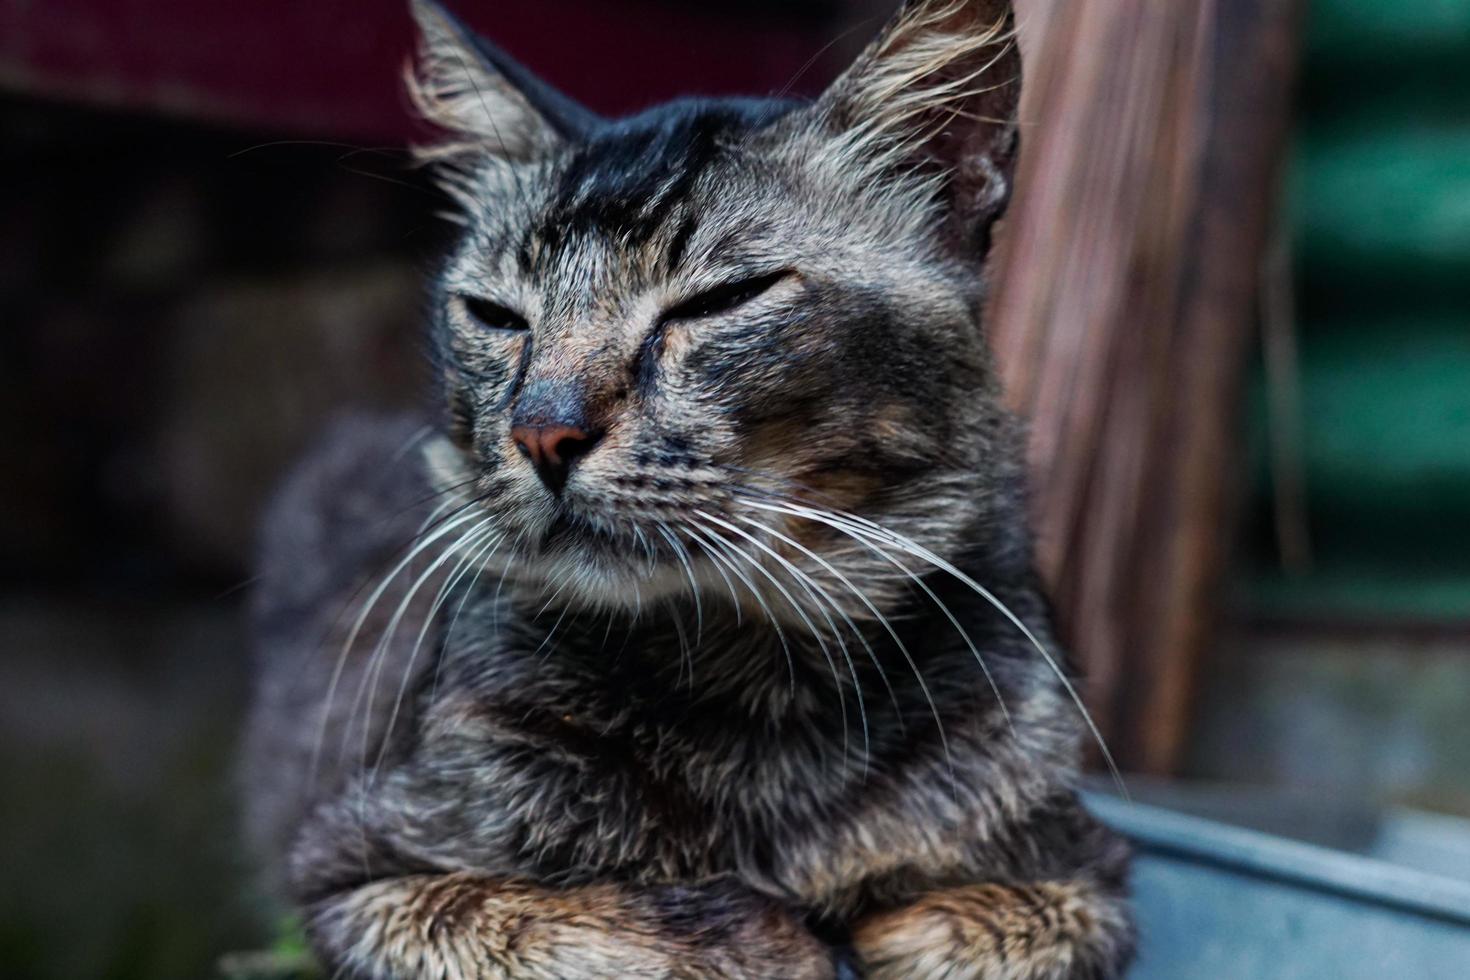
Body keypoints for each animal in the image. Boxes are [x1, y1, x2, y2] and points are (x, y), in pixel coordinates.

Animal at [241, 0, 1134, 975]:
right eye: (496, 316)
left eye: (721, 300)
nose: (542, 431)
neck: (757, 707)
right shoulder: (352, 874)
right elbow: (606, 922)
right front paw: (771, 937)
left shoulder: (1082, 878)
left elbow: (975, 925)